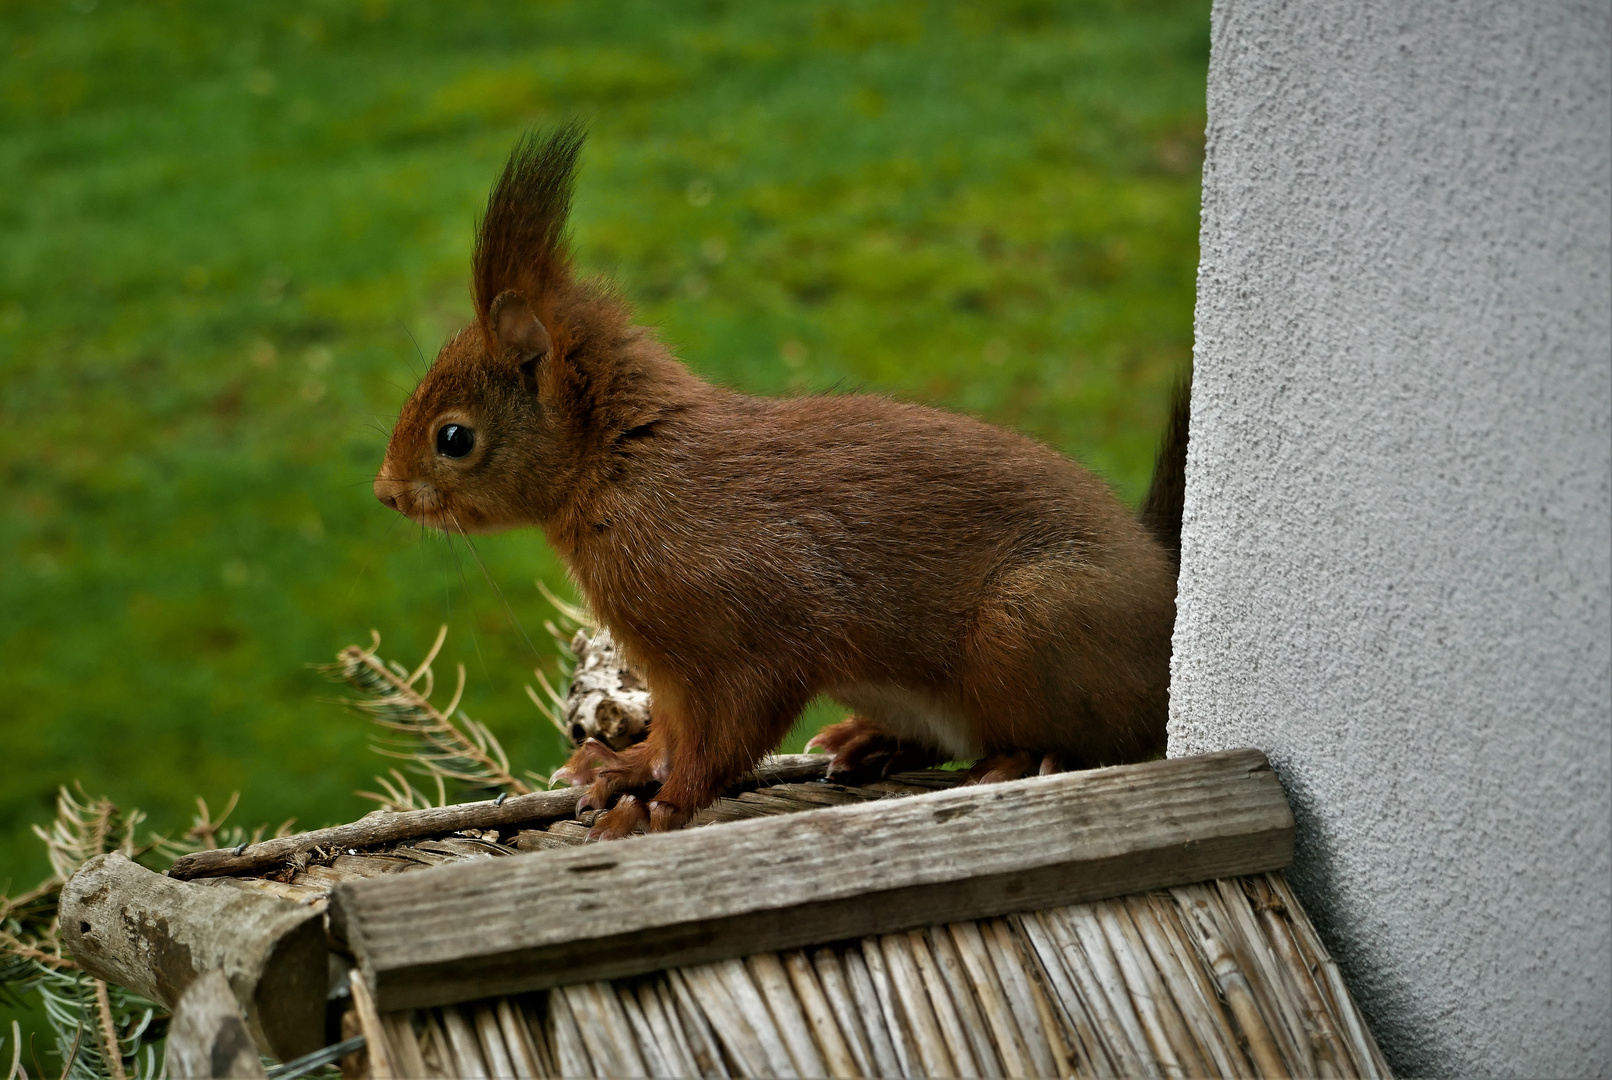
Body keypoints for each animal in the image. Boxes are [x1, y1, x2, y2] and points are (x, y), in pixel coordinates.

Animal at [373, 124, 1186, 838]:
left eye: (453, 438)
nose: (385, 494)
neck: (623, 469)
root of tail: (1162, 592)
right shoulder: (671, 671)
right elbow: (671, 732)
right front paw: (621, 768)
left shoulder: (750, 628)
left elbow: (727, 735)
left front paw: (661, 807)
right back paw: (872, 740)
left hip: (1030, 623)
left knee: (1101, 739)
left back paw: (1017, 760)